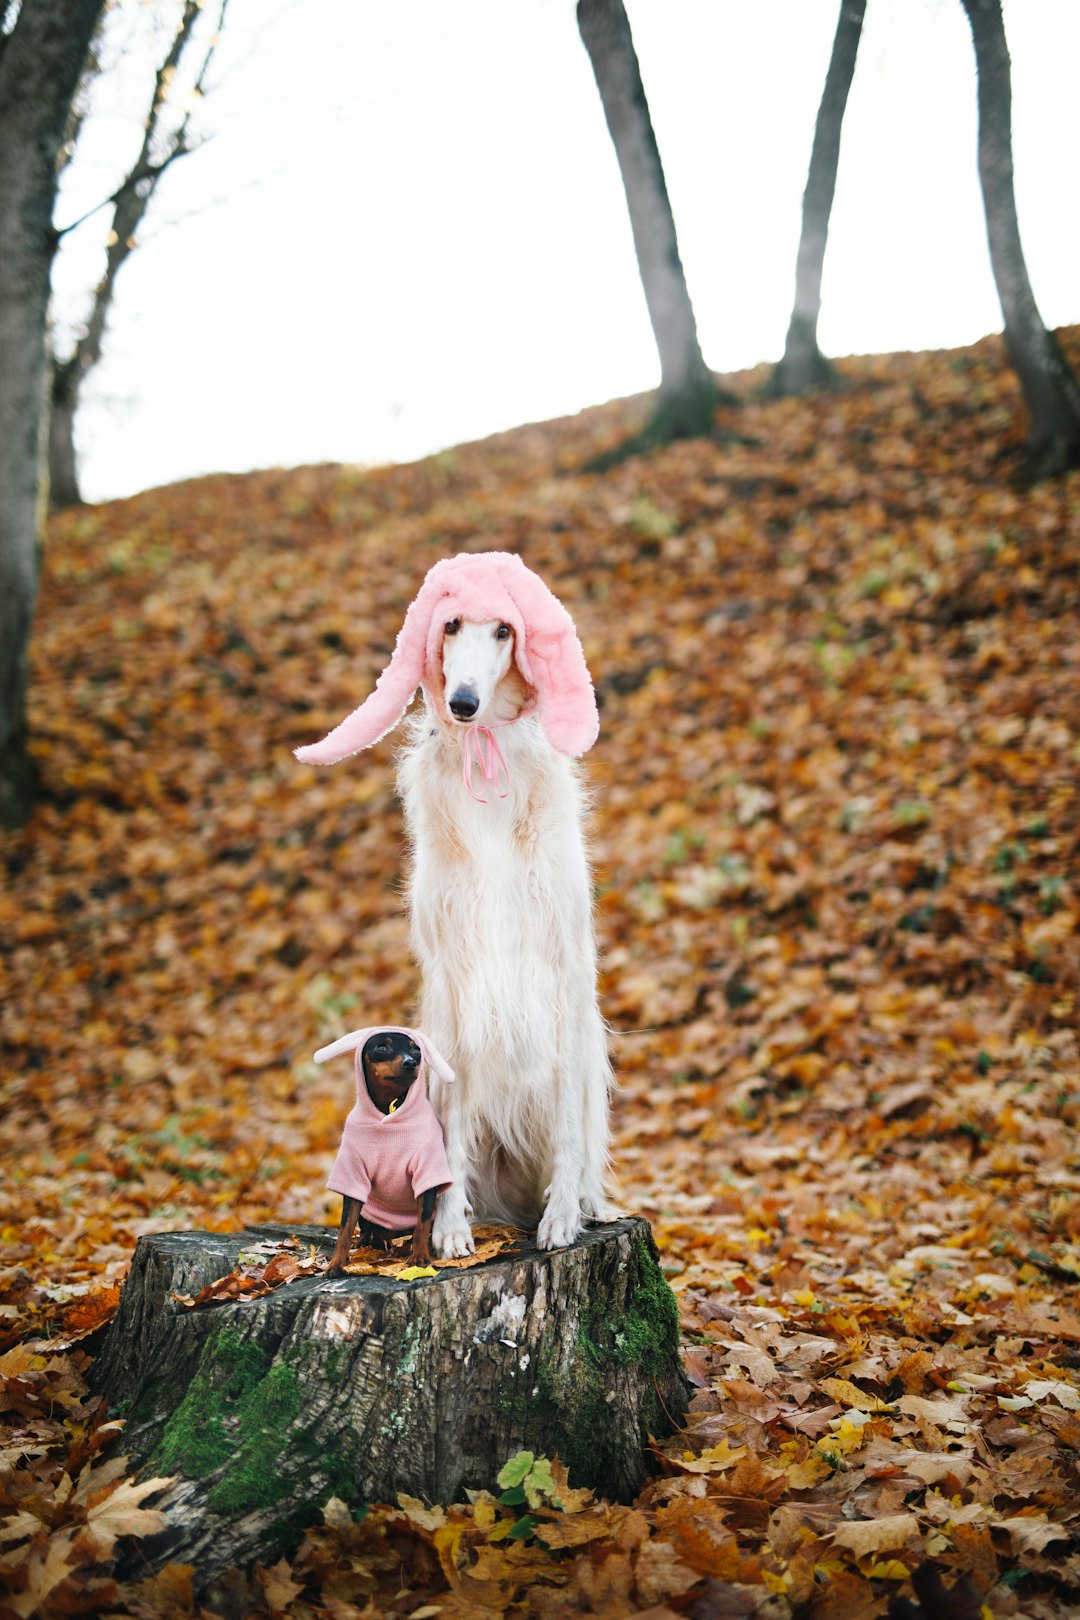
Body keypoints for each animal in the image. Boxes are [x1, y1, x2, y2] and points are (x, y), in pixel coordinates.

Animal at [296, 550, 612, 1257]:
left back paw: (583, 1203)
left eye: (504, 629)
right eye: (450, 624)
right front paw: (448, 1227)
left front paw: (561, 1218)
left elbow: (567, 1123)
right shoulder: (455, 980)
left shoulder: (561, 971)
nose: (463, 703)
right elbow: (454, 1120)